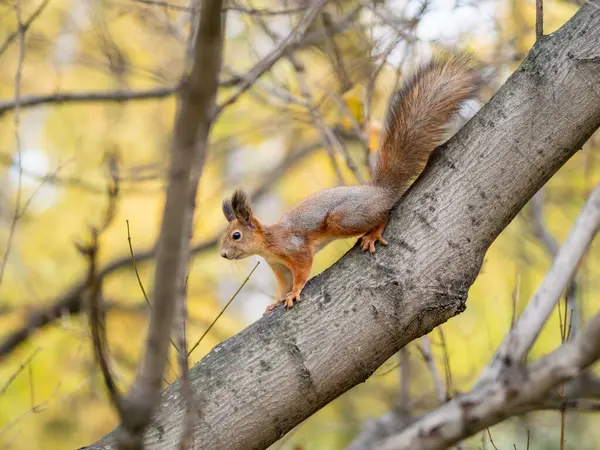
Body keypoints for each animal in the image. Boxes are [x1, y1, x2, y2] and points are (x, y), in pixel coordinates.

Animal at [220, 55, 482, 312]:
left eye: (236, 235)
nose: (222, 254)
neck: (267, 243)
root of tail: (379, 190)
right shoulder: (278, 266)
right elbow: (283, 284)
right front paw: (276, 301)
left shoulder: (294, 249)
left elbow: (302, 271)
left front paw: (294, 293)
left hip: (343, 218)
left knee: (383, 215)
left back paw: (373, 233)